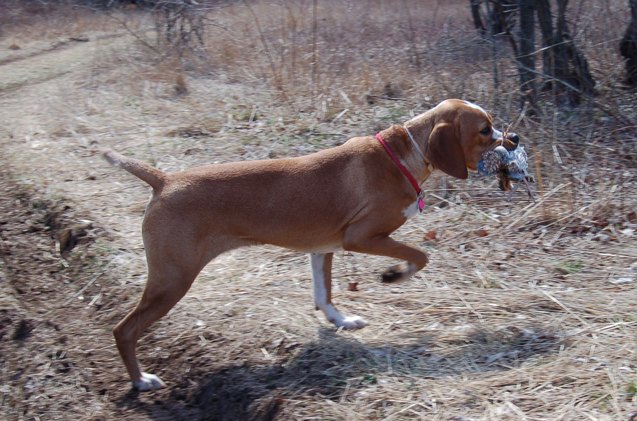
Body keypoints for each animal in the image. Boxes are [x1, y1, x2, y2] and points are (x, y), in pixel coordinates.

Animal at [104, 99, 520, 390]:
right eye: (485, 129)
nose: (514, 138)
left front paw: (342, 321)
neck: (405, 155)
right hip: (172, 281)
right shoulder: (362, 237)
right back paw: (140, 381)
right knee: (123, 330)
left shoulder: (323, 248)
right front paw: (394, 274)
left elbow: (324, 294)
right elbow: (419, 255)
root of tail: (165, 180)